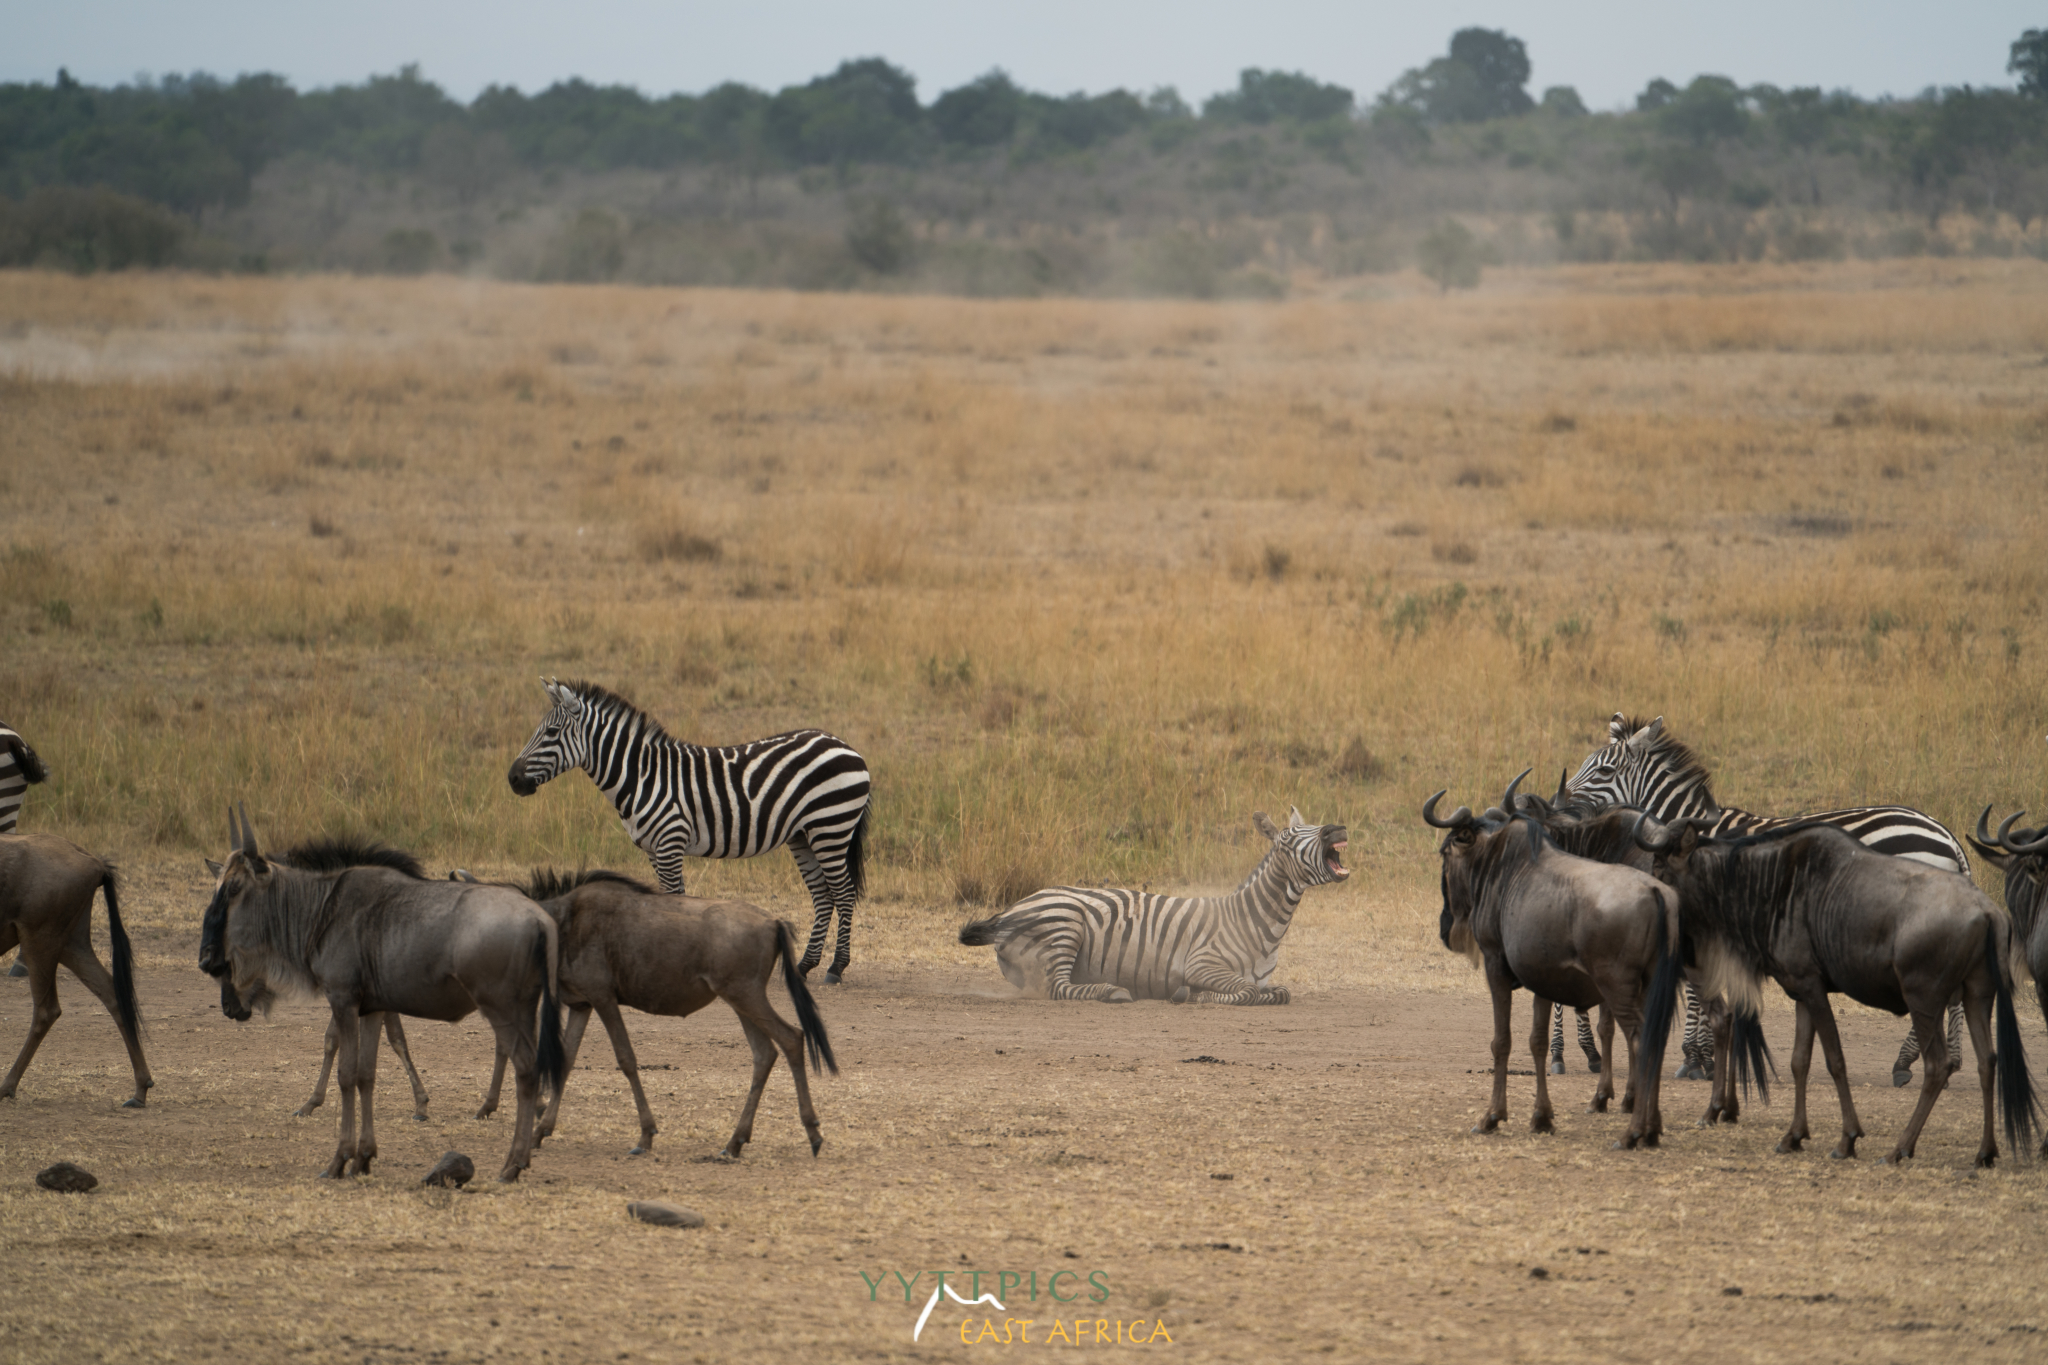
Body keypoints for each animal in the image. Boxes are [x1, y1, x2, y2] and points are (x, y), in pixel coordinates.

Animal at [509, 679, 872, 982]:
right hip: (803, 836)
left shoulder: (670, 841)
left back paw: (836, 968)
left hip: (831, 826)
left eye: (551, 732)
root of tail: (846, 746)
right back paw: (805, 966)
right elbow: (667, 900)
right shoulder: (653, 849)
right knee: (823, 895)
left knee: (843, 892)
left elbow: (673, 900)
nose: (512, 779)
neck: (641, 777)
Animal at [958, 806, 1343, 1010]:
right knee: (1058, 988)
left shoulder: (1264, 979)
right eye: (1289, 841)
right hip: (1065, 924)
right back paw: (1111, 991)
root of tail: (1010, 911)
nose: (1336, 828)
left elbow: (1279, 993)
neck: (1258, 924)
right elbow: (1246, 992)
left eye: (1316, 826)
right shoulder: (1201, 963)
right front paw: (1197, 996)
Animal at [1564, 716, 1966, 1088]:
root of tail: (1947, 834)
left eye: (1604, 770)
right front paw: (1703, 1055)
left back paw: (1907, 1062)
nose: (1559, 802)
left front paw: (1698, 1057)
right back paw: (1940, 1062)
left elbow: (1698, 987)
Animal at [1630, 818, 2031, 1170]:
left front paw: (1847, 1139)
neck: (1772, 883)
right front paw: (1793, 1136)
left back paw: (1898, 1150)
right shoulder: (1801, 993)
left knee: (1938, 1066)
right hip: (1977, 998)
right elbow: (1799, 1062)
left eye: (1660, 867)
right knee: (1987, 1062)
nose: (1651, 901)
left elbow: (1835, 1060)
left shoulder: (1812, 987)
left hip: (1924, 1000)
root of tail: (1989, 911)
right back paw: (1984, 1153)